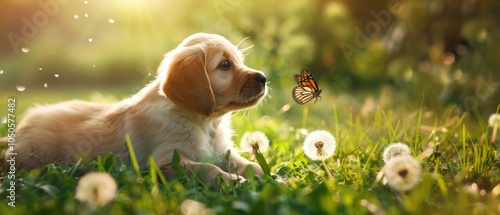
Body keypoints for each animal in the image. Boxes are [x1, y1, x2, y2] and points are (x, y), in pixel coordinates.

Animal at [1, 32, 268, 184]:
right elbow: (206, 168)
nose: (264, 78)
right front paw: (233, 181)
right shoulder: (165, 161)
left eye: (239, 62)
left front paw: (270, 176)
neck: (206, 123)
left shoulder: (222, 151)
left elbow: (248, 164)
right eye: (224, 65)